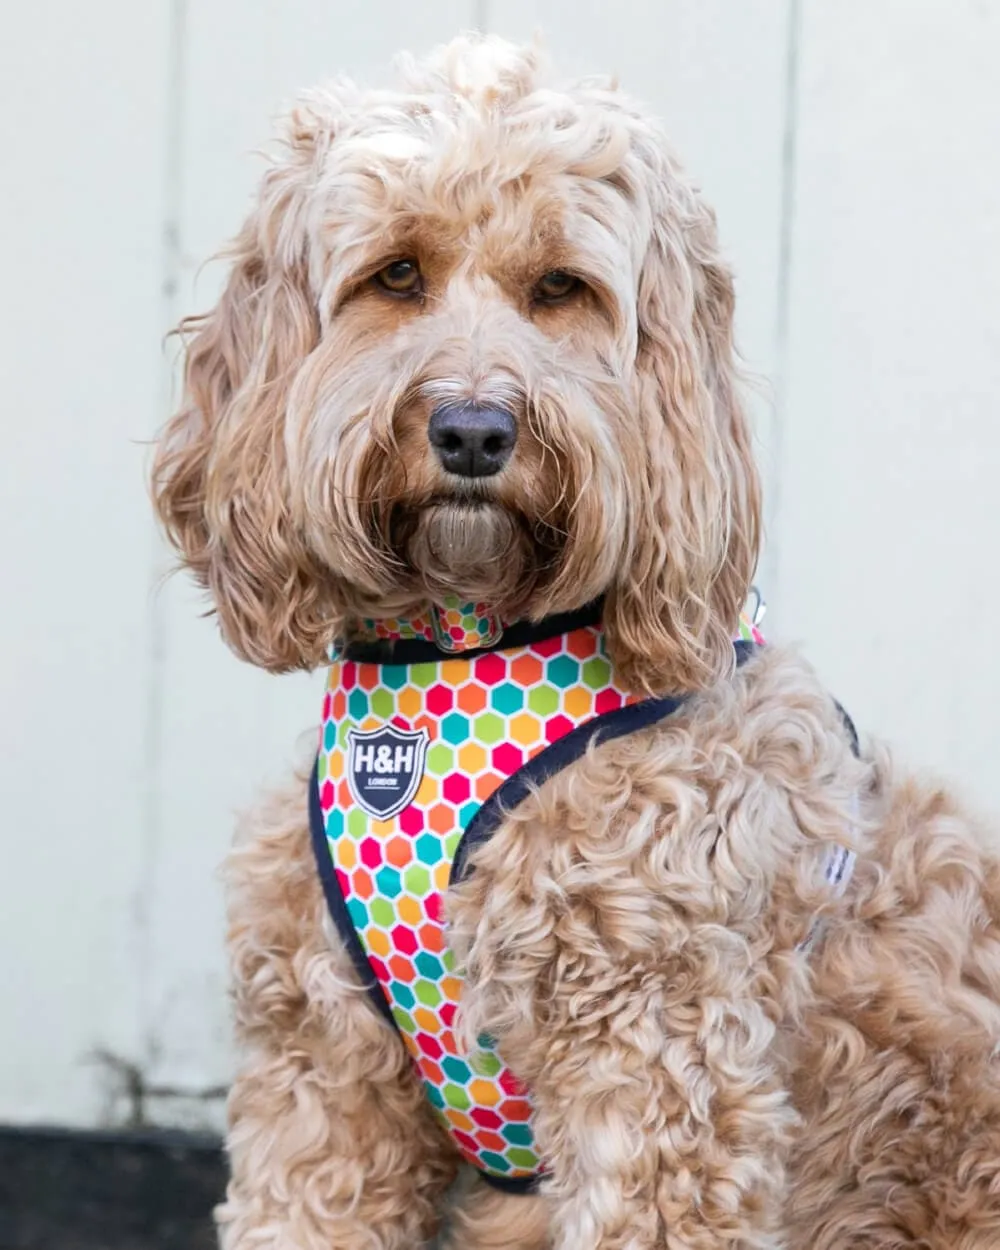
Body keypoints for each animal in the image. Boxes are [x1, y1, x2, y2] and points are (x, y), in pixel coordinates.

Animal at [152, 31, 1000, 1250]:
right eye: (396, 274)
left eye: (560, 288)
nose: (472, 430)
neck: (462, 647)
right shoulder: (325, 1072)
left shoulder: (658, 1069)